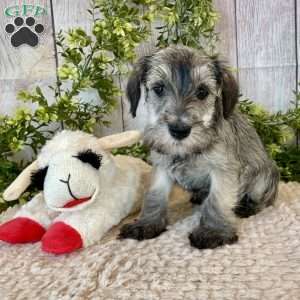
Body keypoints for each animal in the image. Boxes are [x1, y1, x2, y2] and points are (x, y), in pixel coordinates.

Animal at [119, 45, 278, 250]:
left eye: (202, 91)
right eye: (158, 88)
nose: (179, 130)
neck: (188, 151)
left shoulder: (223, 170)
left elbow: (217, 200)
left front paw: (213, 231)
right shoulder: (161, 166)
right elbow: (154, 196)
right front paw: (146, 223)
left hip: (263, 179)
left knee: (263, 200)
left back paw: (247, 207)